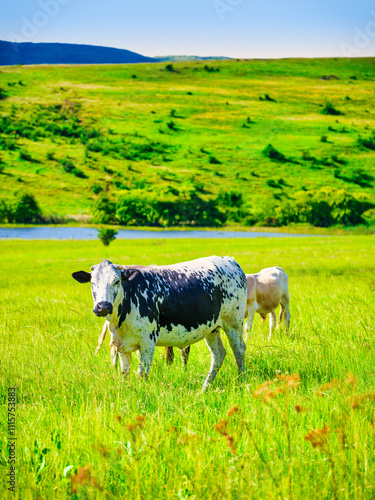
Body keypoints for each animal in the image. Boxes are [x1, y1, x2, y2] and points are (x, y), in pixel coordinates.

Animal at [72, 256, 248, 388]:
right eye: (93, 283)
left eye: (116, 281)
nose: (103, 306)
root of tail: (229, 260)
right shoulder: (122, 345)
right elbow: (125, 373)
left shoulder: (148, 341)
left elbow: (142, 374)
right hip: (212, 328)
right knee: (218, 354)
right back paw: (204, 388)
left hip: (233, 322)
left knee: (239, 349)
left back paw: (241, 382)